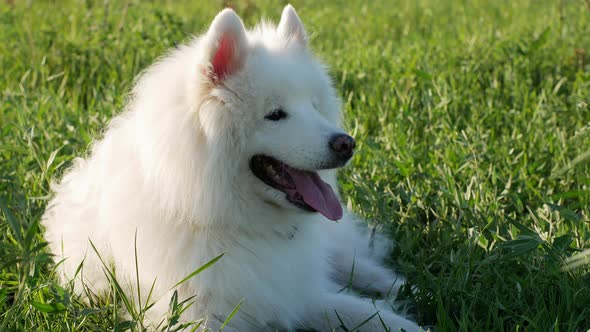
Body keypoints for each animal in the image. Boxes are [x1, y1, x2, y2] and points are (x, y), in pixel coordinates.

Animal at [42, 5, 420, 332]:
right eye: (275, 114)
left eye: (314, 107)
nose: (346, 144)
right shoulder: (198, 315)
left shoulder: (297, 294)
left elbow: (374, 315)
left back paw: (398, 285)